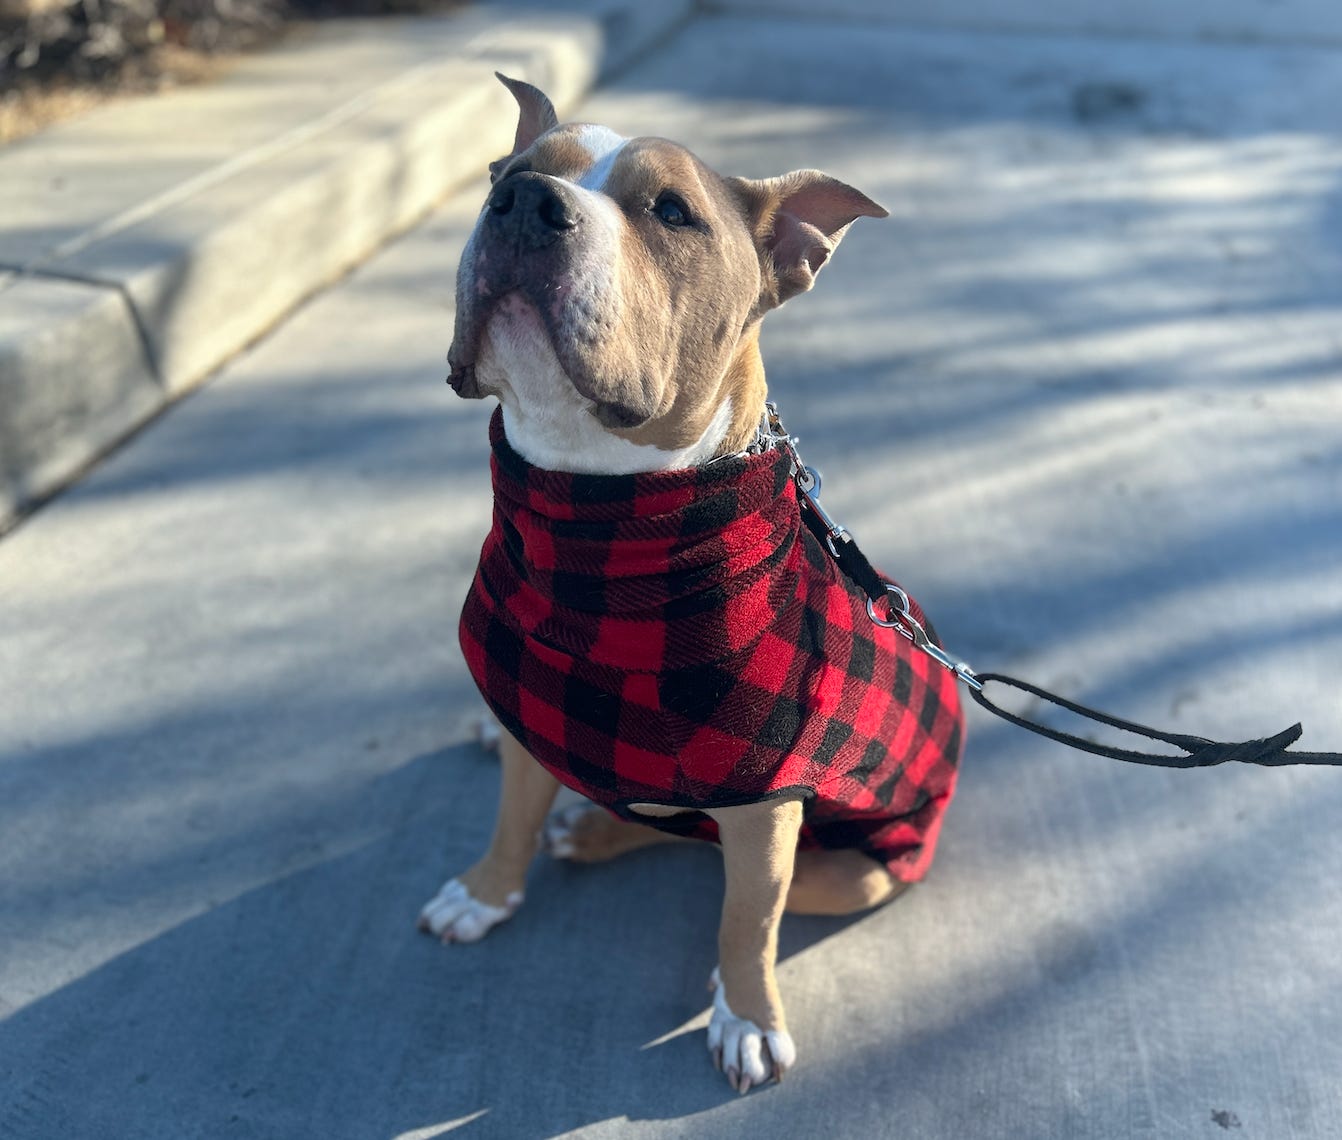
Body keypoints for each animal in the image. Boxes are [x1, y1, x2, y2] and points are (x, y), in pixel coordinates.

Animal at [421, 73, 966, 1095]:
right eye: (505, 176)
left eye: (671, 212)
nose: (527, 204)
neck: (593, 523)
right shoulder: (529, 703)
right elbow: (512, 813)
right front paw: (484, 892)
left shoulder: (764, 808)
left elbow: (745, 923)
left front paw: (747, 1016)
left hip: (868, 864)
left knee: (739, 872)